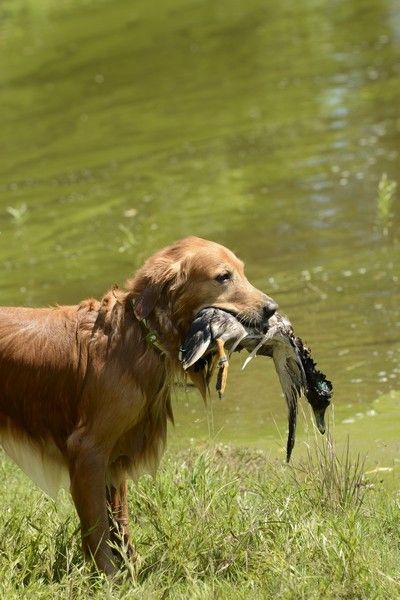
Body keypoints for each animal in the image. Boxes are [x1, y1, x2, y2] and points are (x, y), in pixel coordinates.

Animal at [0, 236, 277, 574]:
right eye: (224, 276)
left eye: (242, 271)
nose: (272, 309)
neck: (140, 337)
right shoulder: (87, 450)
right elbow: (98, 528)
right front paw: (108, 577)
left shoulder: (113, 456)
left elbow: (120, 522)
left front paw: (132, 568)